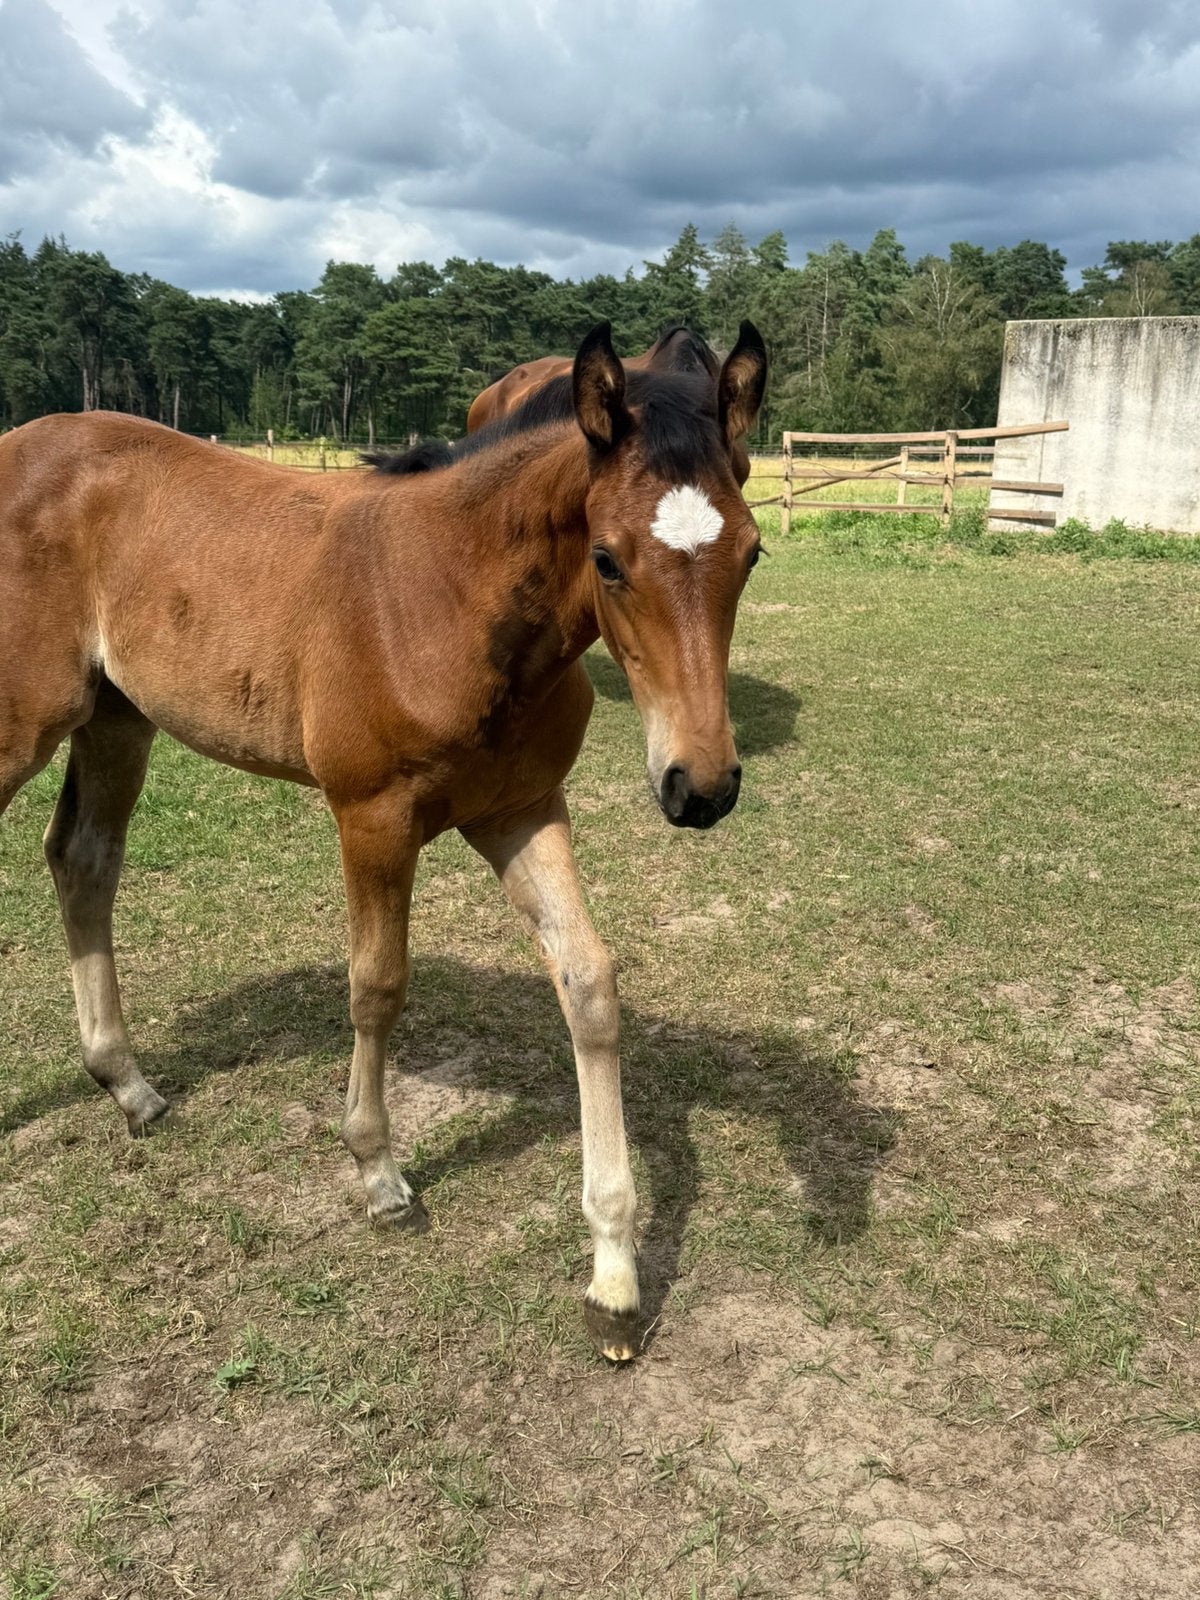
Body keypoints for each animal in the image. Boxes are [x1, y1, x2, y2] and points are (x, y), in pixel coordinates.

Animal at [0, 320, 767, 1361]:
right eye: (607, 559)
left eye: (753, 554)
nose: (703, 787)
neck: (452, 595)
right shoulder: (370, 816)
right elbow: (377, 988)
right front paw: (378, 1174)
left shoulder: (522, 810)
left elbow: (590, 985)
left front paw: (613, 1280)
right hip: (25, 722)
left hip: (117, 718)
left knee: (83, 861)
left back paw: (128, 1085)